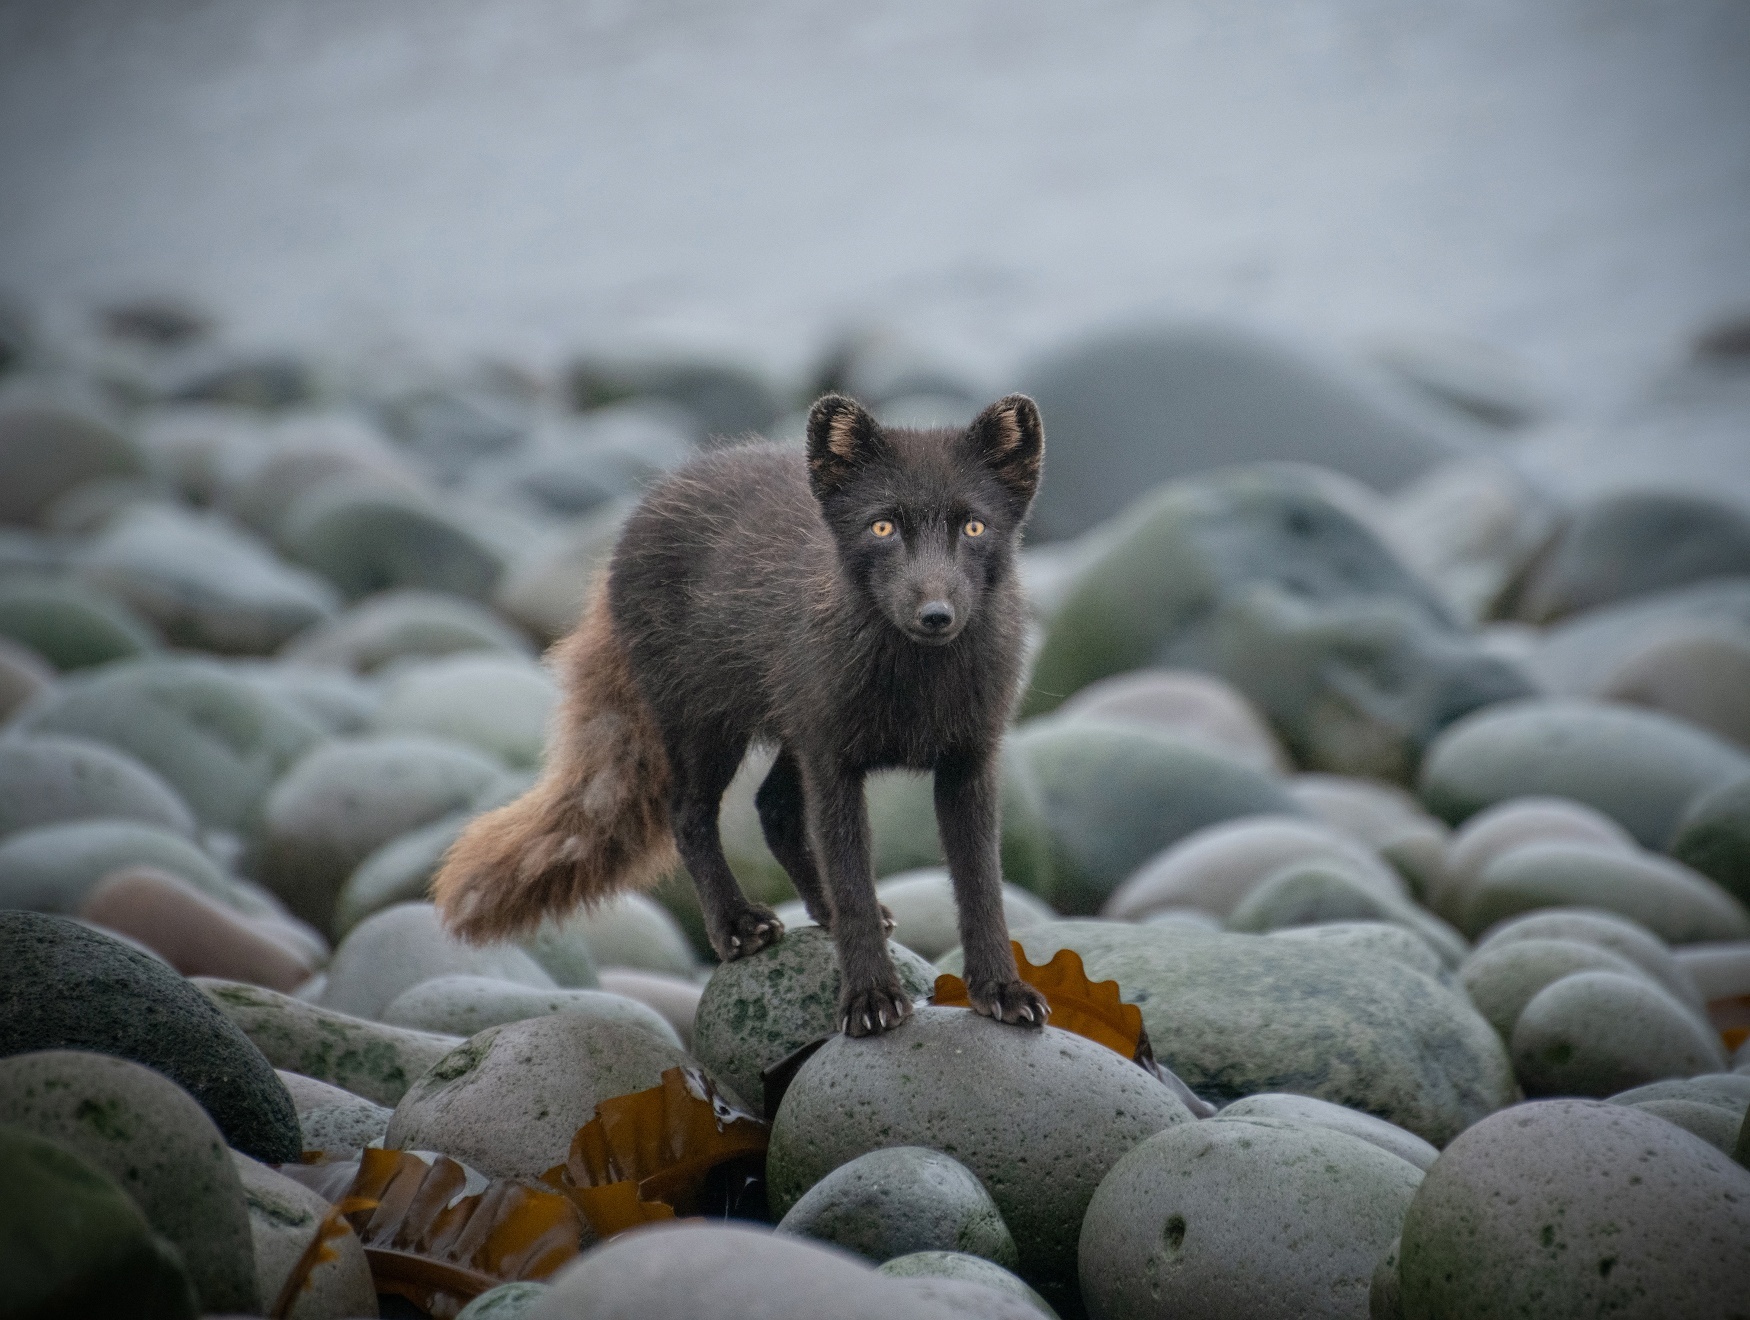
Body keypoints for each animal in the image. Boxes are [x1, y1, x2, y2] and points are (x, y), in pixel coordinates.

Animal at [430, 388, 1043, 1029]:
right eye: (883, 527)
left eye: (974, 526)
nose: (935, 614)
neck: (916, 693)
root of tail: (645, 508)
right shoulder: (834, 764)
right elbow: (852, 880)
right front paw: (872, 999)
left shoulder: (968, 762)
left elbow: (983, 888)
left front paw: (1000, 990)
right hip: (708, 729)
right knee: (690, 813)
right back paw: (736, 926)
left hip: (789, 734)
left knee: (772, 808)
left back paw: (822, 910)